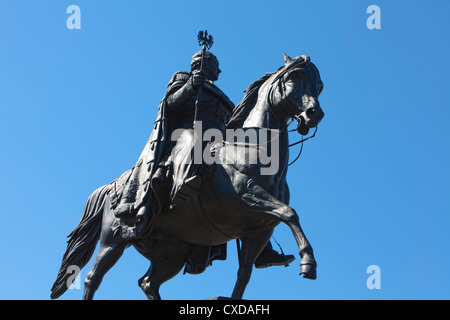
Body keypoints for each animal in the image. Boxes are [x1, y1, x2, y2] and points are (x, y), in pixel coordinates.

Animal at [51, 53, 326, 300]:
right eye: (294, 76)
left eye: (319, 85)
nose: (314, 113)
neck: (253, 148)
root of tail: (111, 186)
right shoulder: (246, 195)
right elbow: (291, 213)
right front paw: (308, 263)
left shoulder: (260, 229)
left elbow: (245, 272)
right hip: (113, 240)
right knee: (93, 278)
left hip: (172, 253)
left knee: (148, 283)